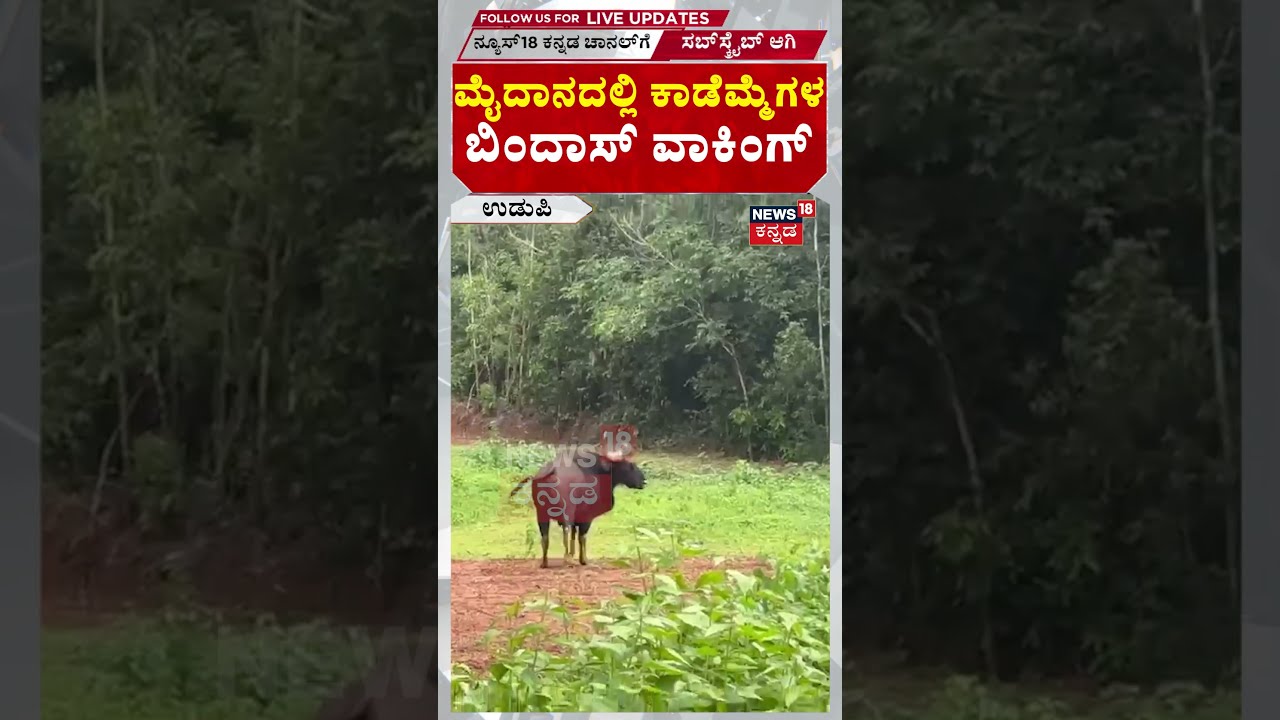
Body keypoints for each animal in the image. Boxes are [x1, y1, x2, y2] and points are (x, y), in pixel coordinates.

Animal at [509, 446, 646, 567]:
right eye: (630, 465)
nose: (644, 481)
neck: (598, 472)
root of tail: (552, 470)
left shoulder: (576, 518)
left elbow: (574, 536)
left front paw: (573, 554)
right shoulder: (586, 517)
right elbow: (581, 537)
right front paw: (583, 560)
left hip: (541, 513)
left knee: (545, 537)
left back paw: (545, 562)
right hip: (566, 511)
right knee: (566, 531)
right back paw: (567, 560)